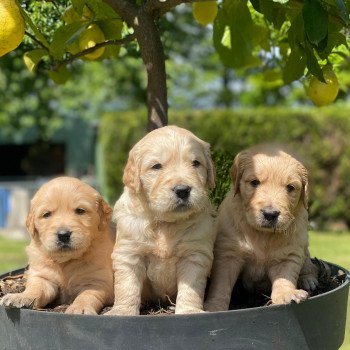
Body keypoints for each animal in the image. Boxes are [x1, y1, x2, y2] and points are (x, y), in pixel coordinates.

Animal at [0, 176, 114, 316]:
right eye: (47, 214)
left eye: (80, 211)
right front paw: (21, 297)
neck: (65, 262)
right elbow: (35, 288)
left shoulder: (98, 281)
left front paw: (80, 307)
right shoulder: (42, 276)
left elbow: (87, 295)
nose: (63, 234)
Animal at [106, 125, 216, 314]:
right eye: (156, 166)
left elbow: (191, 288)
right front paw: (123, 311)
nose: (183, 190)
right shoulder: (129, 253)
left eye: (196, 163)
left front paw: (189, 311)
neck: (166, 223)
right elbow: (127, 286)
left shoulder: (195, 254)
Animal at [204, 144, 318, 310]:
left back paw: (308, 279)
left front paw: (287, 294)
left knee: (309, 264)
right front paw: (214, 306)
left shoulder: (288, 254)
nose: (270, 214)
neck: (263, 234)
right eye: (254, 182)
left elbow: (285, 277)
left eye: (290, 187)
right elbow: (221, 284)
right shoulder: (228, 254)